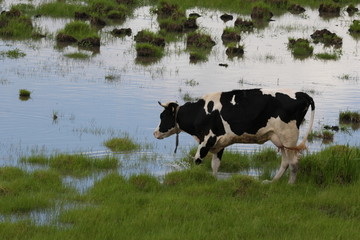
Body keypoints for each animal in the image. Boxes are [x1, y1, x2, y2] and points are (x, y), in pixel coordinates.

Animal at [153, 88, 314, 184]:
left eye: (162, 116)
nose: (154, 133)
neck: (200, 112)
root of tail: (301, 94)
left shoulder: (207, 140)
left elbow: (197, 160)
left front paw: (194, 177)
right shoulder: (219, 143)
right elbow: (215, 165)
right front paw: (214, 180)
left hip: (288, 136)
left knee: (294, 162)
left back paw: (290, 184)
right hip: (280, 139)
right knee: (285, 162)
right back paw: (272, 182)